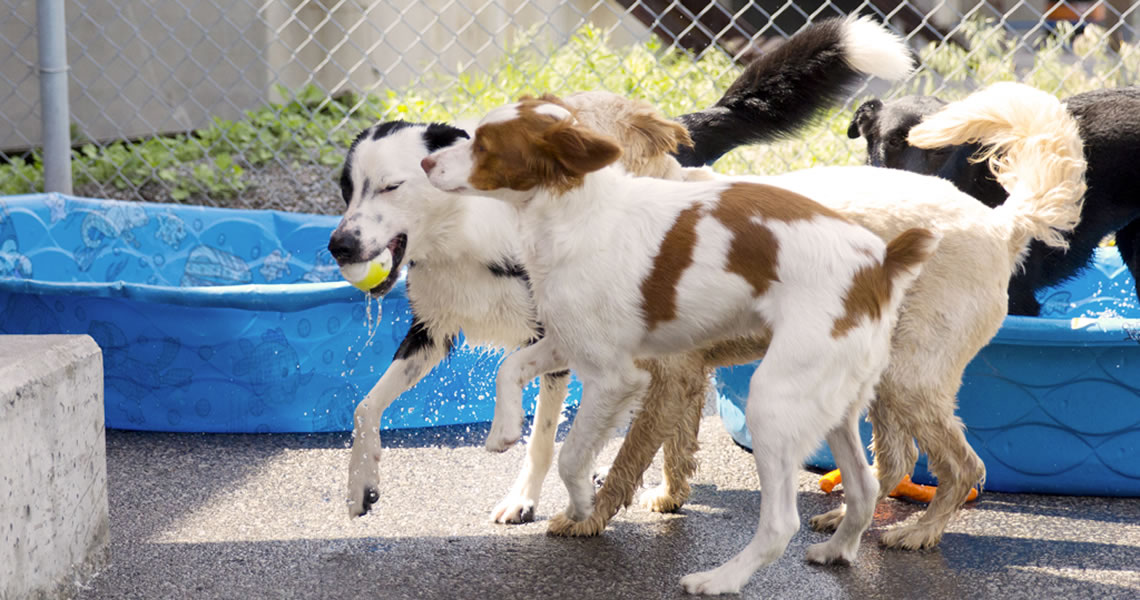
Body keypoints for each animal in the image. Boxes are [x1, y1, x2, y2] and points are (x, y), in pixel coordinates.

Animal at [326, 15, 912, 522]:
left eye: (392, 186)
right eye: (346, 188)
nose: (338, 246)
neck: (467, 235)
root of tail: (670, 128)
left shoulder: (556, 340)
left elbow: (541, 437)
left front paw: (525, 496)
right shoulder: (432, 330)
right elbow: (365, 407)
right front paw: (360, 485)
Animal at [424, 96, 939, 593]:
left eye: (484, 146)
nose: (426, 162)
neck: (575, 211)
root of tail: (879, 263)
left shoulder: (615, 376)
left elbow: (572, 456)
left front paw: (582, 506)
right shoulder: (571, 341)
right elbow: (509, 368)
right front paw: (504, 430)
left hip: (774, 402)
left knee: (780, 524)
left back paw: (720, 579)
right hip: (835, 403)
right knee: (864, 489)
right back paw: (837, 550)